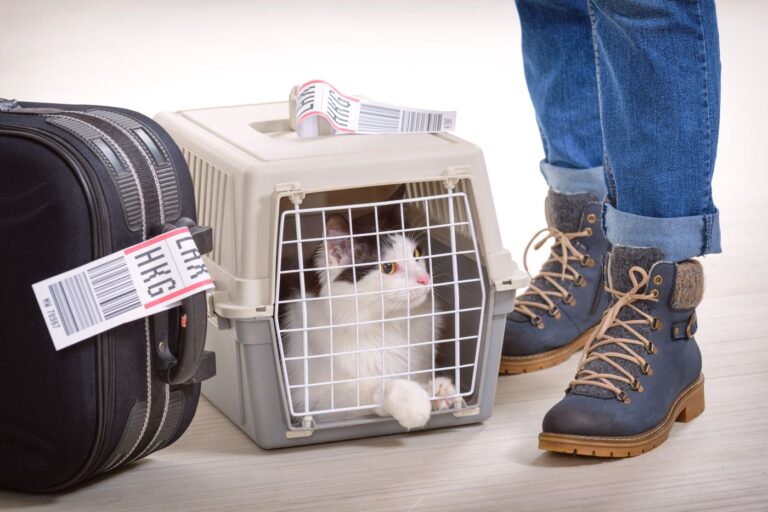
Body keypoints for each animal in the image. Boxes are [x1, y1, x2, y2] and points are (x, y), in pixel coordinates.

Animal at [280, 201, 456, 428]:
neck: (388, 325)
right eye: (388, 268)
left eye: (416, 253)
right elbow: (371, 389)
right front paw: (412, 400)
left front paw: (436, 391)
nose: (425, 279)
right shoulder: (313, 402)